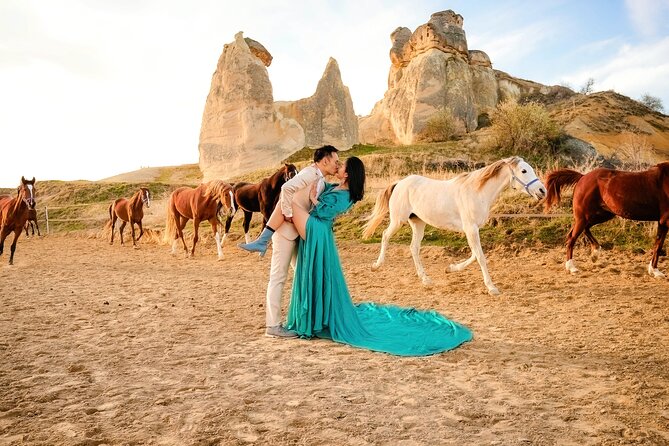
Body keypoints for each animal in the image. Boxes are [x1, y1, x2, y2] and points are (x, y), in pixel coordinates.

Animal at [362, 157, 546, 295]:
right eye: (523, 171)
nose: (542, 191)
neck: (477, 193)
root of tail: (400, 183)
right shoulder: (471, 229)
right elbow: (480, 257)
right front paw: (492, 288)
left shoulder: (472, 229)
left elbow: (475, 255)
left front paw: (450, 269)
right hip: (398, 220)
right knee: (385, 235)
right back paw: (376, 266)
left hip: (418, 223)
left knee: (413, 248)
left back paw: (425, 279)